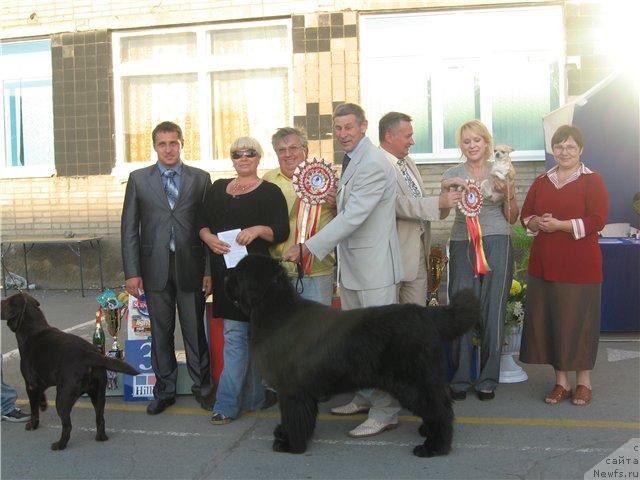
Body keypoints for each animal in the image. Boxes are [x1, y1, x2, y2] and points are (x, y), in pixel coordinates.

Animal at [0, 290, 139, 452]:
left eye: (5, 302)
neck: (32, 330)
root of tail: (89, 355)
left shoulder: (30, 383)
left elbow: (34, 409)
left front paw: (33, 424)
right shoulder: (43, 380)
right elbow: (41, 395)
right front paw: (43, 405)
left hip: (63, 397)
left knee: (67, 426)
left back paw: (59, 445)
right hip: (99, 393)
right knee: (100, 418)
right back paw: (101, 437)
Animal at [225, 255, 480, 458]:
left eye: (240, 273)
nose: (226, 276)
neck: (276, 310)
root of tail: (426, 314)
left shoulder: (292, 390)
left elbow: (293, 417)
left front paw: (290, 444)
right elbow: (298, 418)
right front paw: (285, 434)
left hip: (414, 382)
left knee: (440, 410)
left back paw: (433, 447)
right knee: (440, 404)